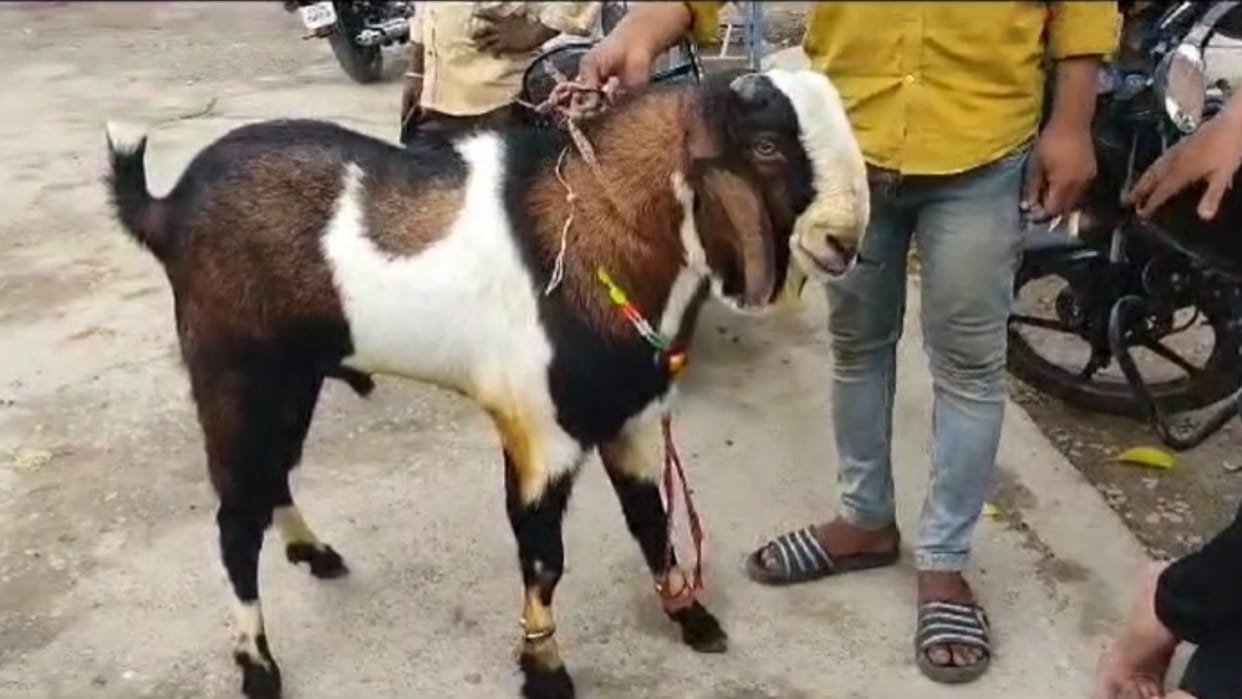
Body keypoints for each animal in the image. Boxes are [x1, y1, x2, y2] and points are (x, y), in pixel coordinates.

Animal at [103, 67, 869, 699]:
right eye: (765, 146)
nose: (843, 242)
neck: (595, 232)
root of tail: (166, 207)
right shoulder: (539, 432)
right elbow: (543, 557)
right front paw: (545, 670)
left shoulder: (633, 419)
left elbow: (652, 521)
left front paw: (691, 615)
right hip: (234, 370)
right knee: (236, 515)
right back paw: (259, 666)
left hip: (294, 376)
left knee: (269, 475)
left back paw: (313, 553)